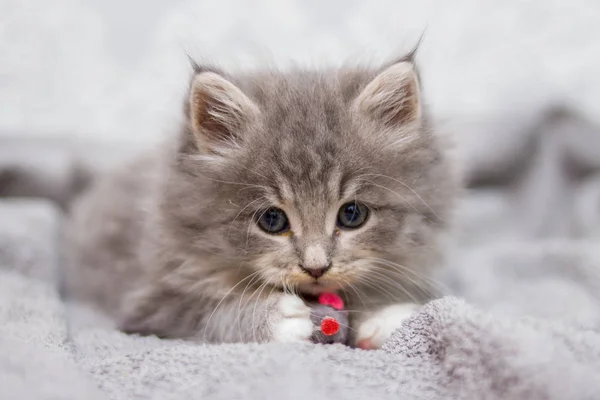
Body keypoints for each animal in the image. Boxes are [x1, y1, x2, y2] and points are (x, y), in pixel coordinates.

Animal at [63, 54, 458, 348]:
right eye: (272, 220)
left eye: (352, 214)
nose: (316, 268)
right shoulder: (150, 304)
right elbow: (209, 313)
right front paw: (274, 318)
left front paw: (384, 314)